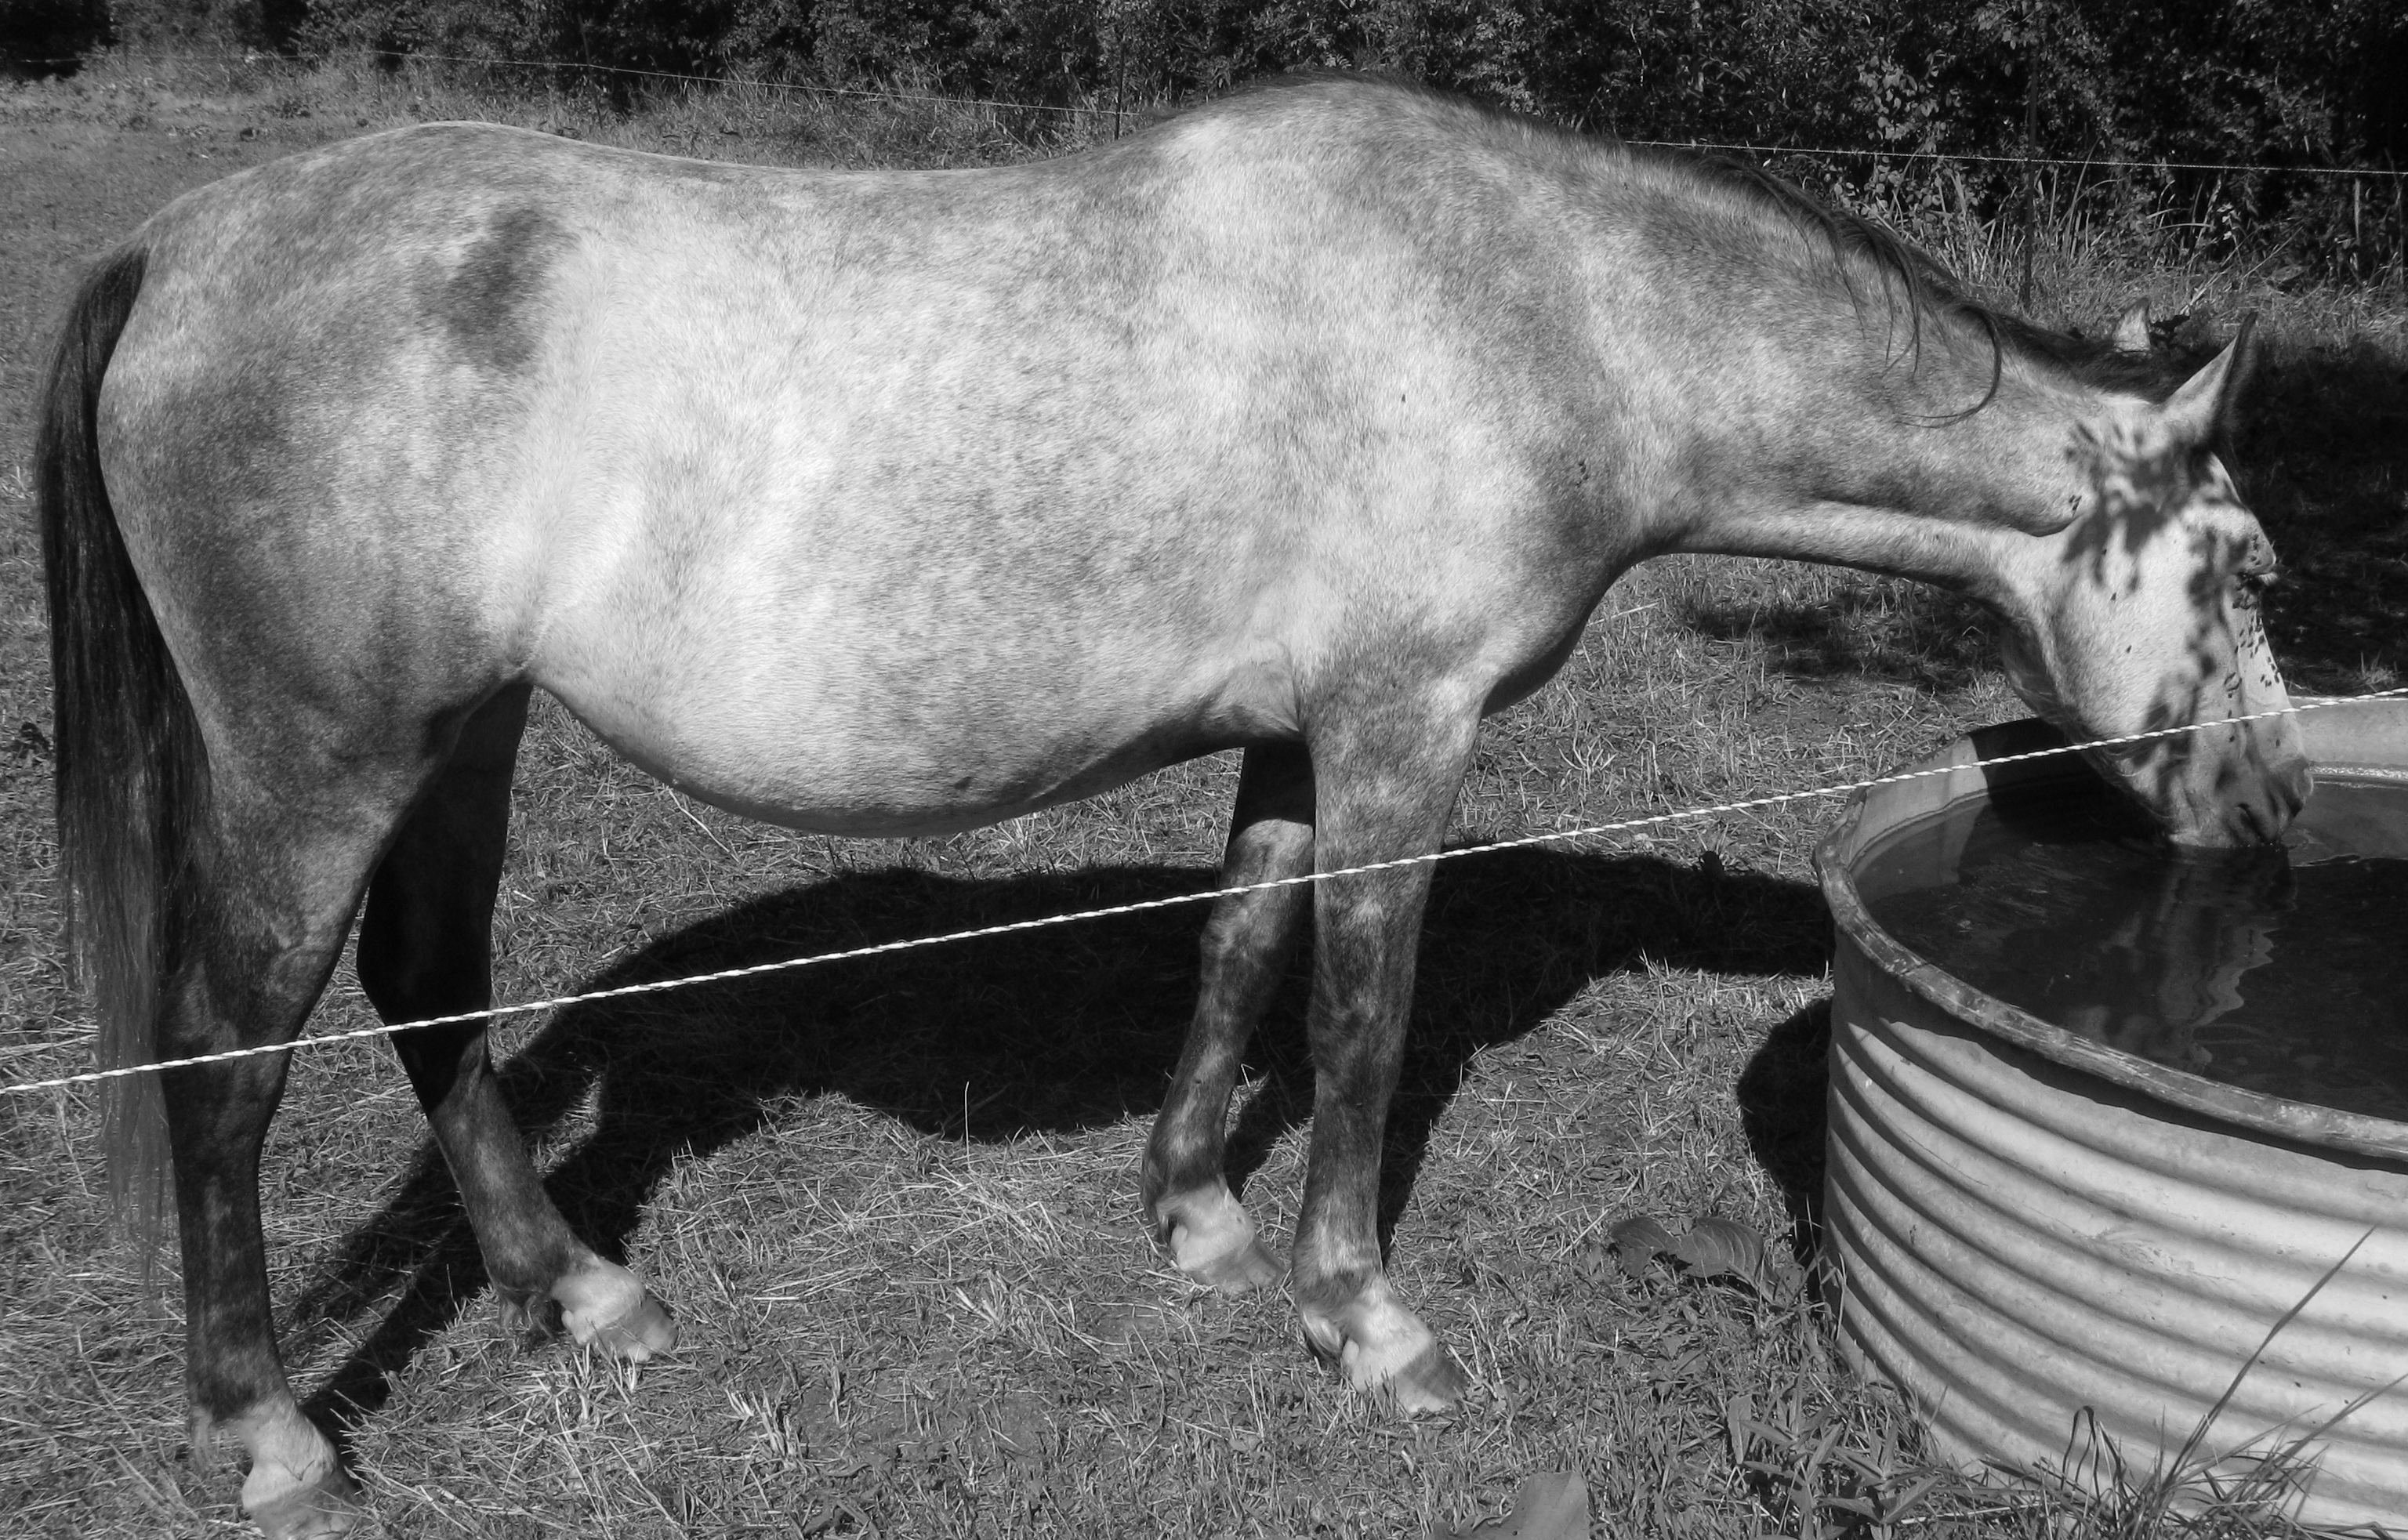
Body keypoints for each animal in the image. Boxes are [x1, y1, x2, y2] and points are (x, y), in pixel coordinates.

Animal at [33, 74, 2292, 1540]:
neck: (1539, 313)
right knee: (230, 1055)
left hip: (468, 732)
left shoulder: (1295, 742)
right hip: (327, 759)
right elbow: (1366, 1019)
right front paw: (1366, 1322)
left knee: (430, 988)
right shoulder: (1400, 732)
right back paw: (268, 1434)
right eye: (2255, 570)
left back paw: (578, 1293)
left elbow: (1241, 949)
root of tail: (180, 248)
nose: (2274, 816)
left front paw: (1196, 1217)